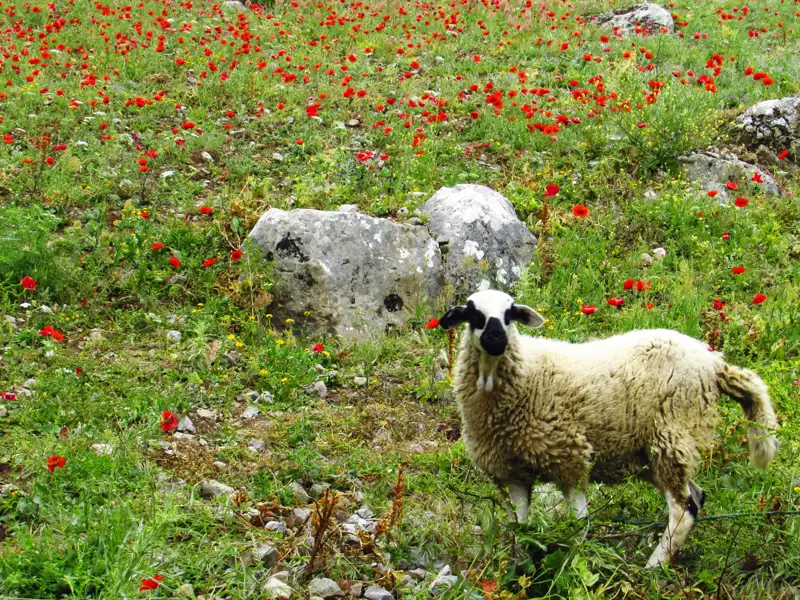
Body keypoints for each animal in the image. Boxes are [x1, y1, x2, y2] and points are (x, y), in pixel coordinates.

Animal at [438, 289, 779, 568]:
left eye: (510, 313)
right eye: (473, 314)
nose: (497, 339)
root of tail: (714, 363)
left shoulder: (570, 457)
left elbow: (579, 524)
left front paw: (572, 565)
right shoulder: (512, 472)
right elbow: (519, 528)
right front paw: (519, 569)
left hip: (672, 432)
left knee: (681, 510)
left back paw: (652, 567)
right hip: (658, 452)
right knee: (696, 498)